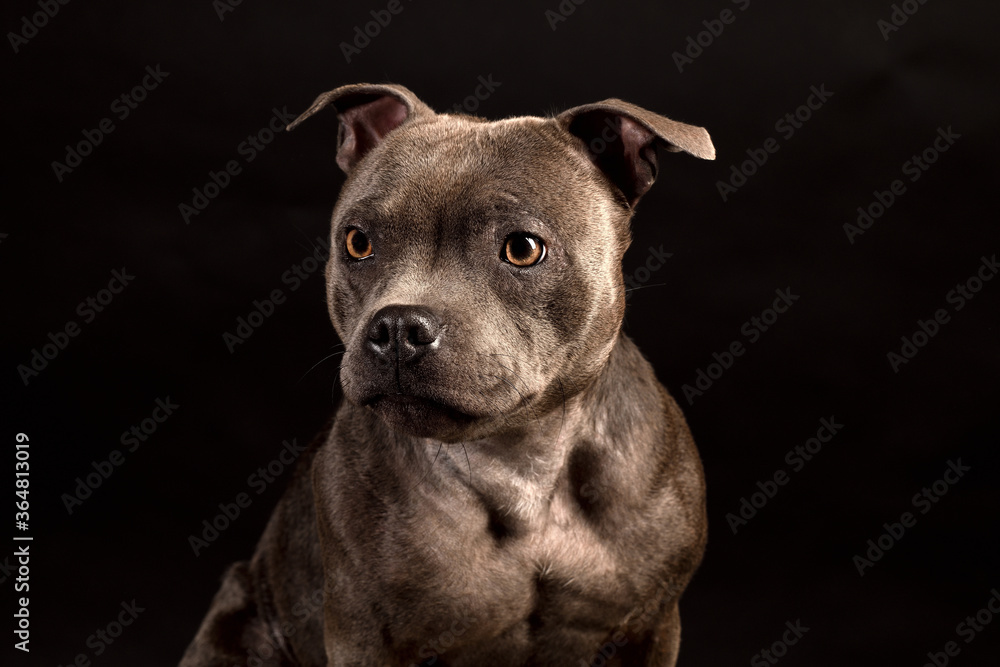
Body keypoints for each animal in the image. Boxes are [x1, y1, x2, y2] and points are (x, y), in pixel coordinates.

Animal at [180, 83, 712, 667]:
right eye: (358, 242)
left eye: (522, 248)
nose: (397, 327)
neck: (520, 468)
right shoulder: (364, 636)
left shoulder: (651, 627)